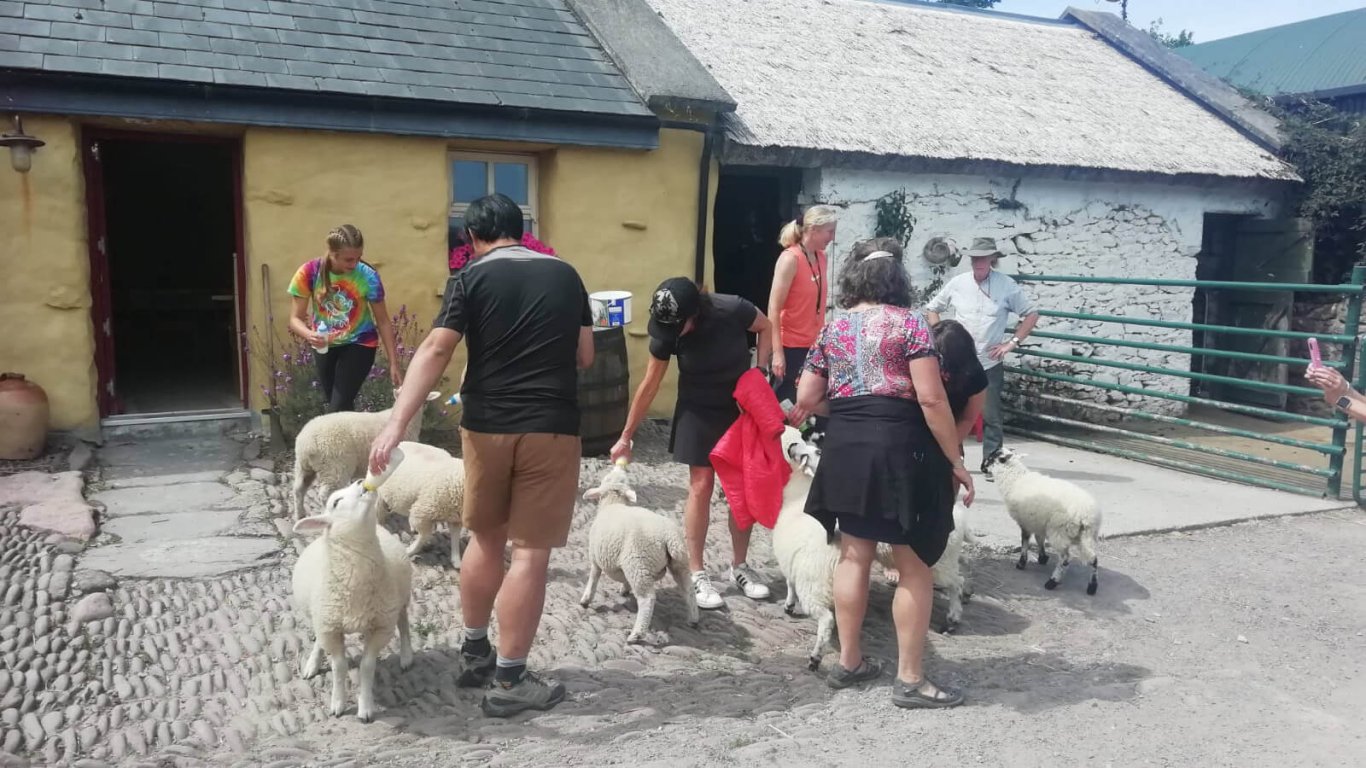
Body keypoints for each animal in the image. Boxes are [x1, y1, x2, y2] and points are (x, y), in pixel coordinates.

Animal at [290, 445, 412, 721]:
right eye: (336, 502)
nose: (360, 482)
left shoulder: (380, 626)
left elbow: (367, 666)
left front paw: (365, 707)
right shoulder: (330, 627)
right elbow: (339, 666)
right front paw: (337, 703)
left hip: (399, 600)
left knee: (403, 623)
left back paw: (407, 656)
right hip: (320, 615)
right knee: (318, 638)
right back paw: (312, 663)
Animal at [293, 390, 442, 516]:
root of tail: (306, 443)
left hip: (304, 466)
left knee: (298, 489)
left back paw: (300, 514)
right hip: (334, 466)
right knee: (325, 494)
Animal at [579, 459, 699, 639]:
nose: (618, 466)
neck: (613, 503)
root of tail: (669, 537)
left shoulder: (595, 557)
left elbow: (593, 579)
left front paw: (585, 600)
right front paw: (624, 589)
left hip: (638, 563)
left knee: (647, 598)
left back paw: (636, 634)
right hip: (679, 562)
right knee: (689, 589)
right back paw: (693, 619)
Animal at [983, 445, 1098, 595]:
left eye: (991, 458)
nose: (982, 468)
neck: (1015, 479)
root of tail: (1085, 515)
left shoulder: (1025, 521)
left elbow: (1025, 541)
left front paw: (1021, 563)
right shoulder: (1038, 521)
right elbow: (1039, 539)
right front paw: (1042, 557)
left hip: (1059, 531)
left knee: (1065, 559)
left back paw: (1052, 582)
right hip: (1088, 536)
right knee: (1093, 558)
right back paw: (1092, 587)